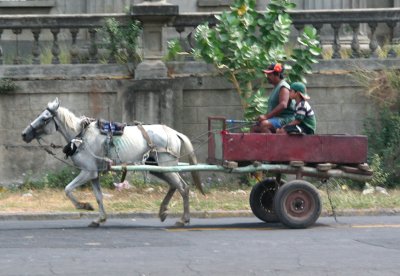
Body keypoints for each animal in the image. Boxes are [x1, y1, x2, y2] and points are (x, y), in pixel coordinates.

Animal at [21, 98, 203, 227]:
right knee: (174, 186)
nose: (24, 134)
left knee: (183, 187)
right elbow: (99, 196)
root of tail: (174, 132)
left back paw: (183, 219)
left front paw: (84, 205)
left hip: (166, 166)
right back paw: (163, 211)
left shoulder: (88, 172)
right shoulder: (94, 174)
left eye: (44, 118)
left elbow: (68, 189)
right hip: (158, 168)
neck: (82, 136)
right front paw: (99, 219)